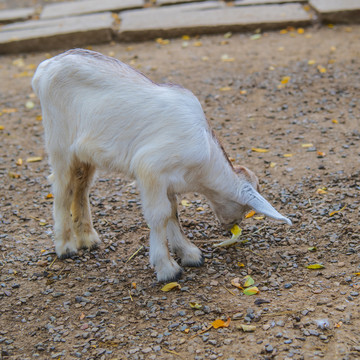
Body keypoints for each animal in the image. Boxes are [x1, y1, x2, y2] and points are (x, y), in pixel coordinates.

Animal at [31, 49, 292, 282]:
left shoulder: (167, 180)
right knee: (62, 188)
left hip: (85, 153)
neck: (205, 161)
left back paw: (87, 239)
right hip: (59, 141)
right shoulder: (150, 169)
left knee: (81, 187)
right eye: (244, 208)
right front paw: (167, 268)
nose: (232, 226)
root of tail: (45, 66)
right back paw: (65, 247)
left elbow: (173, 211)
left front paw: (189, 254)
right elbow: (160, 215)